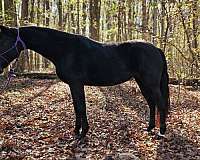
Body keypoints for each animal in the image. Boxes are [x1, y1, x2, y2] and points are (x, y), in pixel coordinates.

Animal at [0, 26, 170, 140]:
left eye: (3, 42)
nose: (0, 66)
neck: (64, 49)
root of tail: (156, 49)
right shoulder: (72, 85)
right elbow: (77, 108)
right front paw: (77, 131)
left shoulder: (76, 83)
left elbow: (81, 107)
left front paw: (83, 133)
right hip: (142, 82)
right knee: (151, 103)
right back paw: (149, 128)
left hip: (151, 83)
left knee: (160, 104)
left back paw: (161, 131)